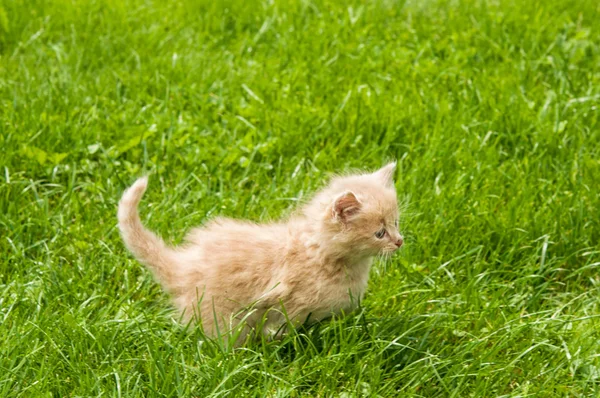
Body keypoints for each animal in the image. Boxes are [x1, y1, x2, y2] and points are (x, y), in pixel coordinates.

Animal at [118, 163, 404, 344]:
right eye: (380, 233)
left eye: (396, 223)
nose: (400, 242)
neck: (320, 254)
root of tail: (182, 267)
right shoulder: (288, 307)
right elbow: (283, 329)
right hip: (223, 316)